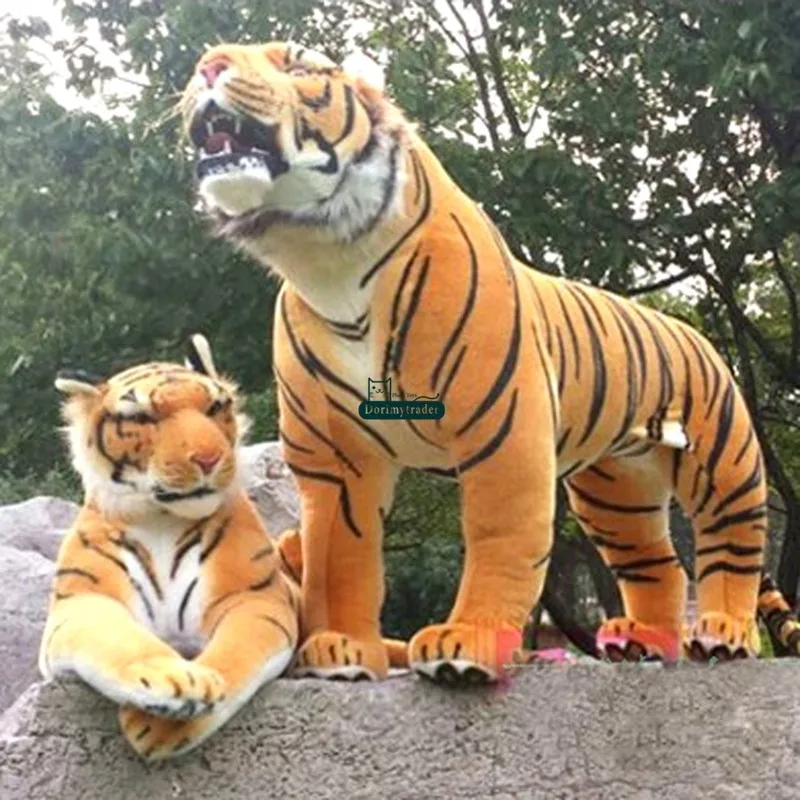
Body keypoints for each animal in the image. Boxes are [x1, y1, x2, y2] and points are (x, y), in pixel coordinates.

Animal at [179, 41, 800, 683]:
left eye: (299, 66)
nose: (208, 64)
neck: (327, 261)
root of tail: (690, 329)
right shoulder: (336, 461)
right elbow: (338, 556)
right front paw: (339, 647)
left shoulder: (502, 426)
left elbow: (498, 537)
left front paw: (467, 643)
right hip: (615, 491)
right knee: (659, 563)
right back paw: (643, 640)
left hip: (723, 461)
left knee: (732, 545)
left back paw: (724, 633)